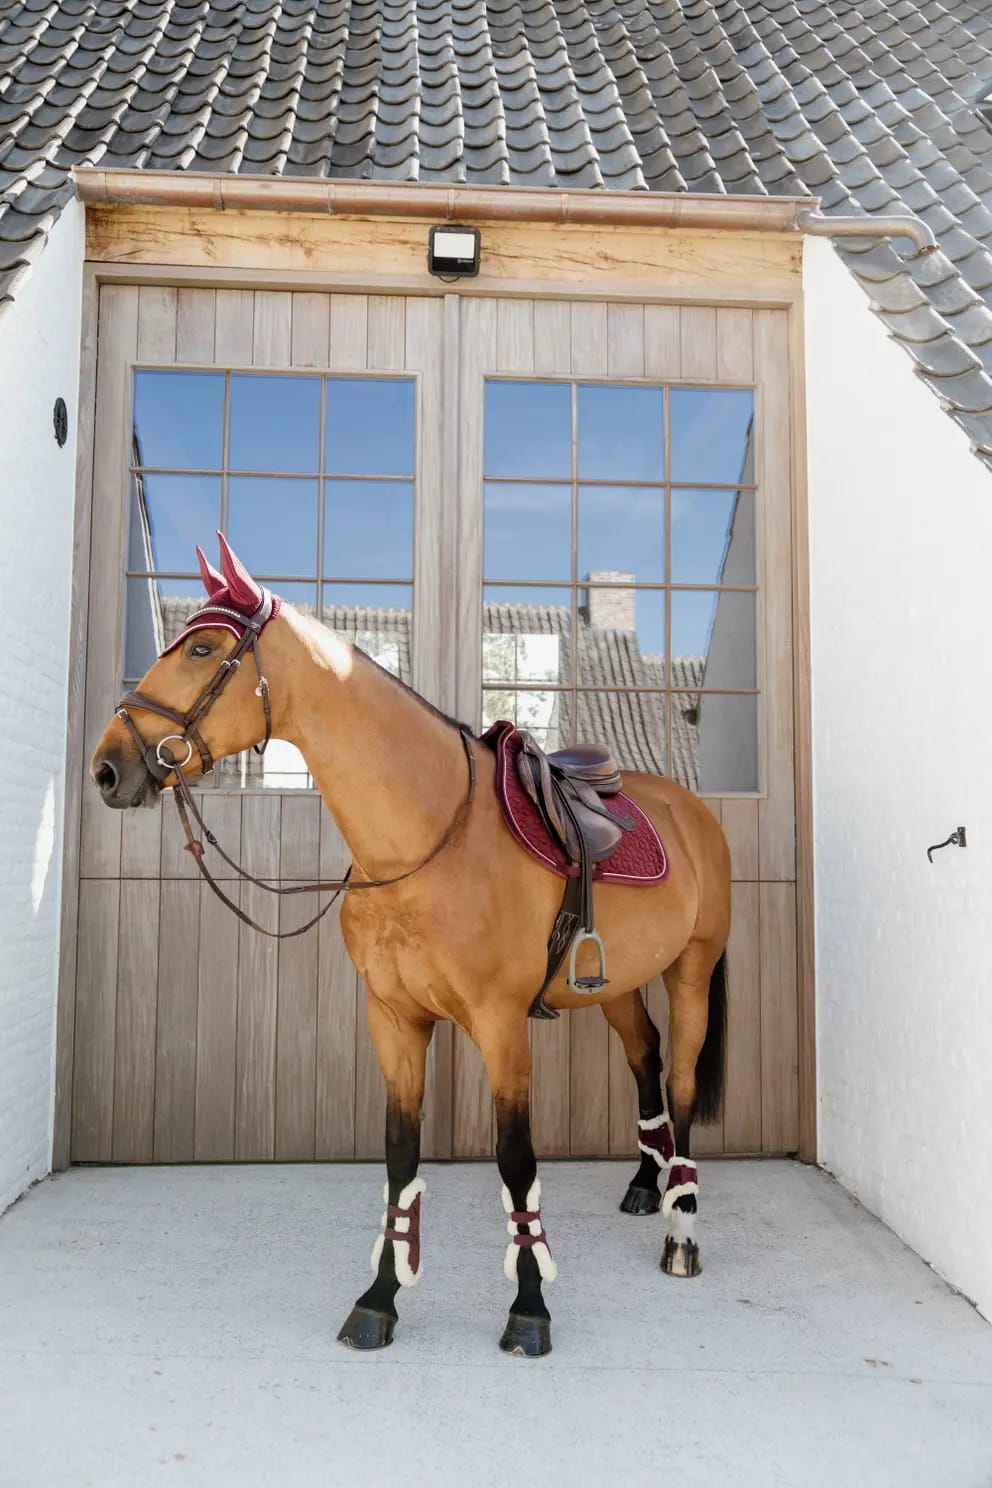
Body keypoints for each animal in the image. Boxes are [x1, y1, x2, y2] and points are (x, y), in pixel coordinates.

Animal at [90, 534, 732, 1358]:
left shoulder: (501, 1027)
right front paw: (381, 1298)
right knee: (645, 1059)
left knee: (678, 1084)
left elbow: (516, 1162)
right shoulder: (393, 1020)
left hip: (691, 972)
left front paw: (529, 1308)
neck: (427, 838)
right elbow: (399, 1157)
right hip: (616, 985)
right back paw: (646, 1189)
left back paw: (682, 1233)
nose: (108, 768)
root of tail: (693, 812)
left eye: (202, 648)